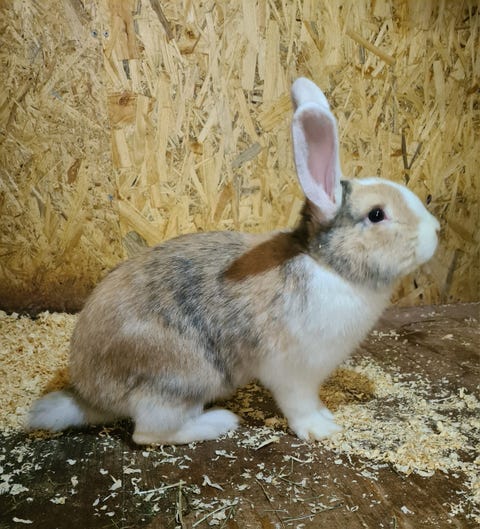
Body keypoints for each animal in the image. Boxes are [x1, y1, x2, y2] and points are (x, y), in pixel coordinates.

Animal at [27, 78, 440, 445]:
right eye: (376, 215)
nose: (435, 231)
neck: (327, 266)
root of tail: (90, 394)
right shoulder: (293, 373)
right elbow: (300, 405)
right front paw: (322, 429)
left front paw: (327, 417)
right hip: (181, 379)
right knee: (148, 434)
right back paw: (219, 422)